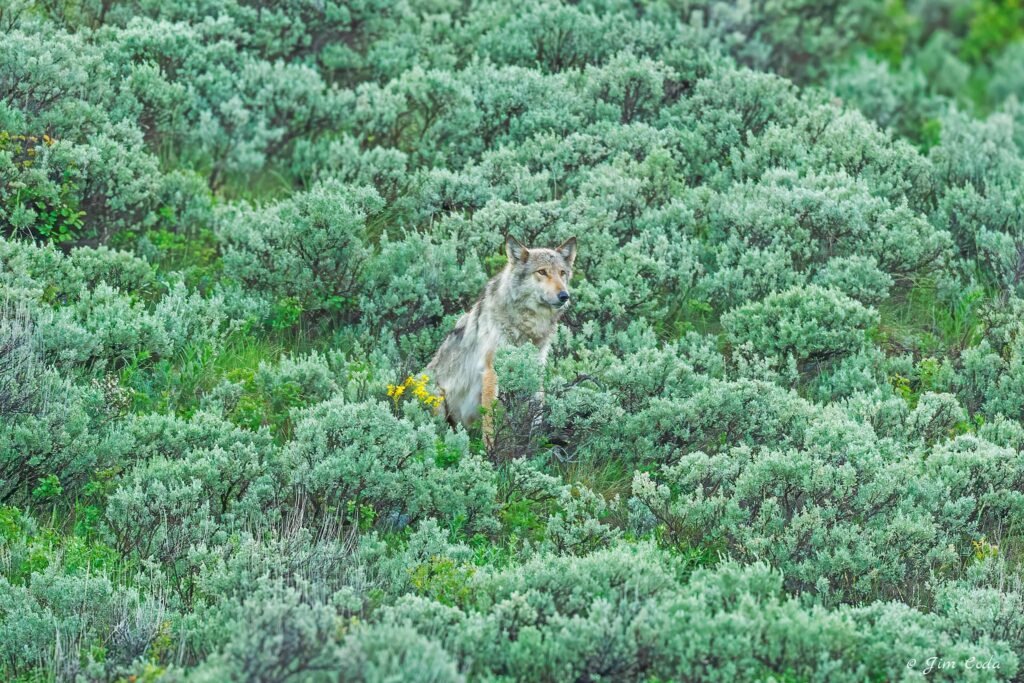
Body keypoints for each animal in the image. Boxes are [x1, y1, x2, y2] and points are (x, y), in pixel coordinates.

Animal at [425, 234, 577, 439]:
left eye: (562, 273)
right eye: (542, 272)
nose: (564, 296)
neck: (526, 325)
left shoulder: (536, 367)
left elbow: (538, 408)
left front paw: (535, 441)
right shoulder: (491, 371)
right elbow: (490, 420)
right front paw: (490, 448)